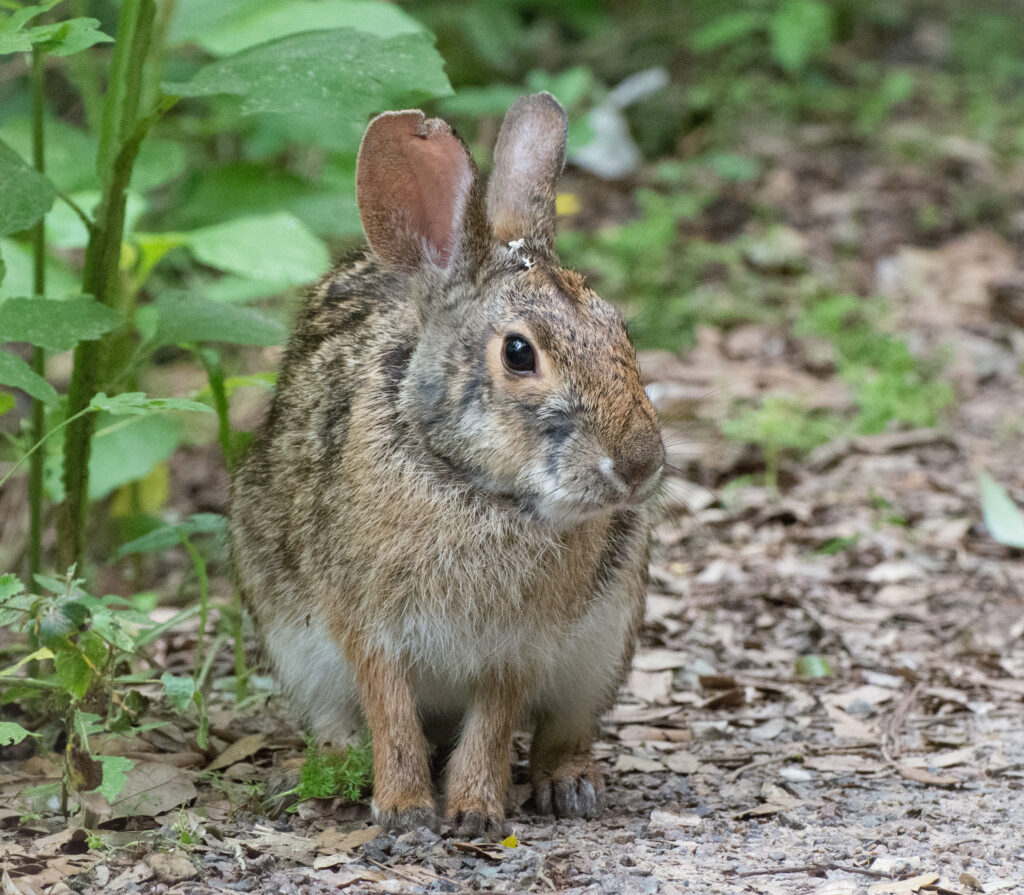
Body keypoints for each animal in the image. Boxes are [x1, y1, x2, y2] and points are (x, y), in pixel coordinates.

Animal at [229, 94, 667, 835]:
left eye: (620, 331)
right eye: (519, 353)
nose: (640, 466)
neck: (471, 485)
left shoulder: (520, 644)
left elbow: (492, 724)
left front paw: (475, 813)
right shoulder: (364, 623)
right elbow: (390, 713)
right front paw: (406, 810)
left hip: (604, 641)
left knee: (564, 729)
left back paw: (570, 784)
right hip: (294, 643)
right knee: (341, 724)